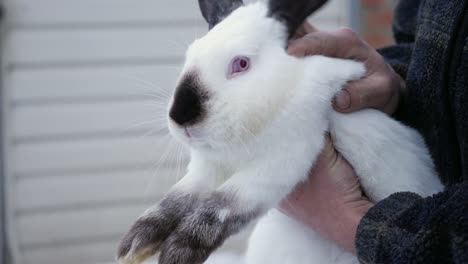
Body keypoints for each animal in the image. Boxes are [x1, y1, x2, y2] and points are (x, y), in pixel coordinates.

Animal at [116, 0, 442, 264]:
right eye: (190, 53)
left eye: (241, 63)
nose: (180, 118)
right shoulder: (205, 170)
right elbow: (177, 199)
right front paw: (134, 246)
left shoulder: (279, 162)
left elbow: (221, 207)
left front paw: (178, 253)